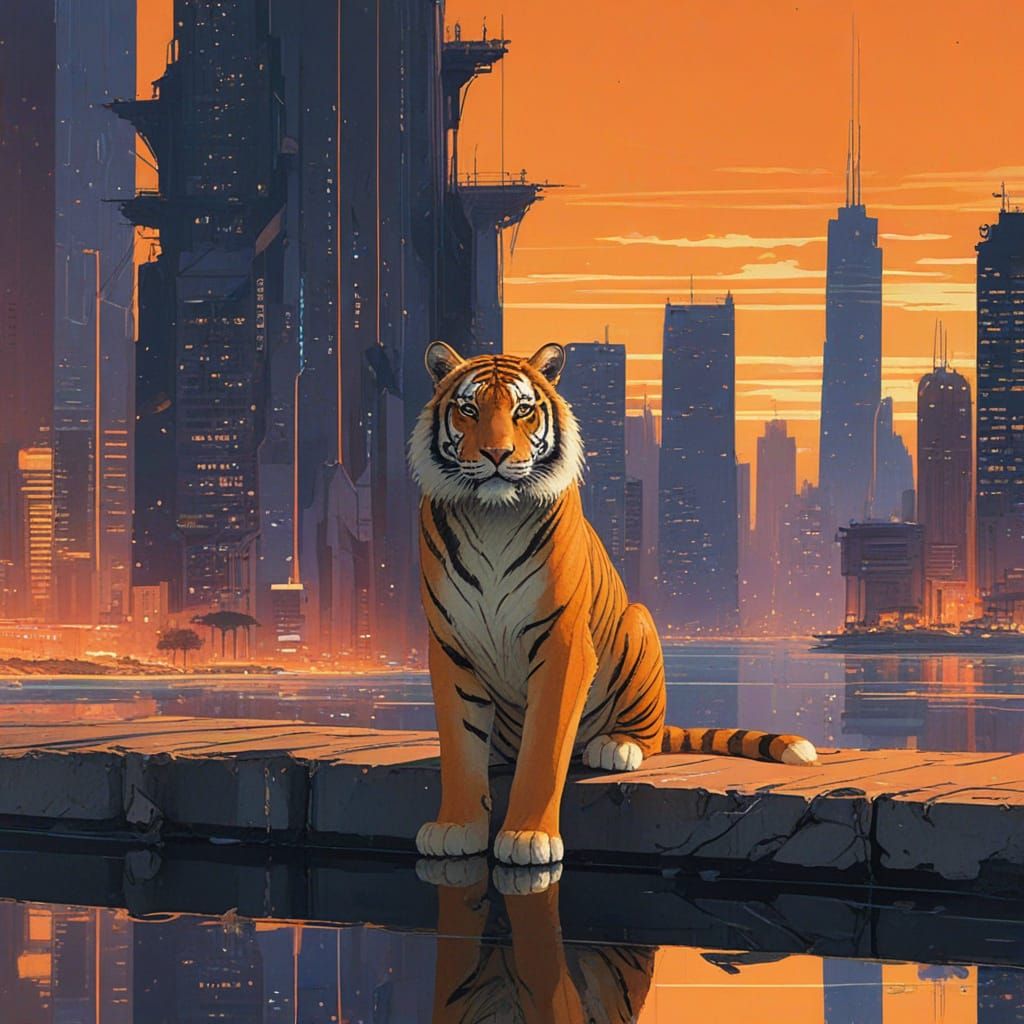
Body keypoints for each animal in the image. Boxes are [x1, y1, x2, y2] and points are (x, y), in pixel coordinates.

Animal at [409, 341, 817, 868]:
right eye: (469, 409)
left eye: (522, 411)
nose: (497, 454)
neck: (492, 514)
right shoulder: (451, 645)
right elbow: (460, 747)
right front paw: (455, 828)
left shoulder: (561, 642)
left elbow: (544, 751)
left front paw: (528, 838)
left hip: (639, 625)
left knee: (644, 735)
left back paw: (616, 747)